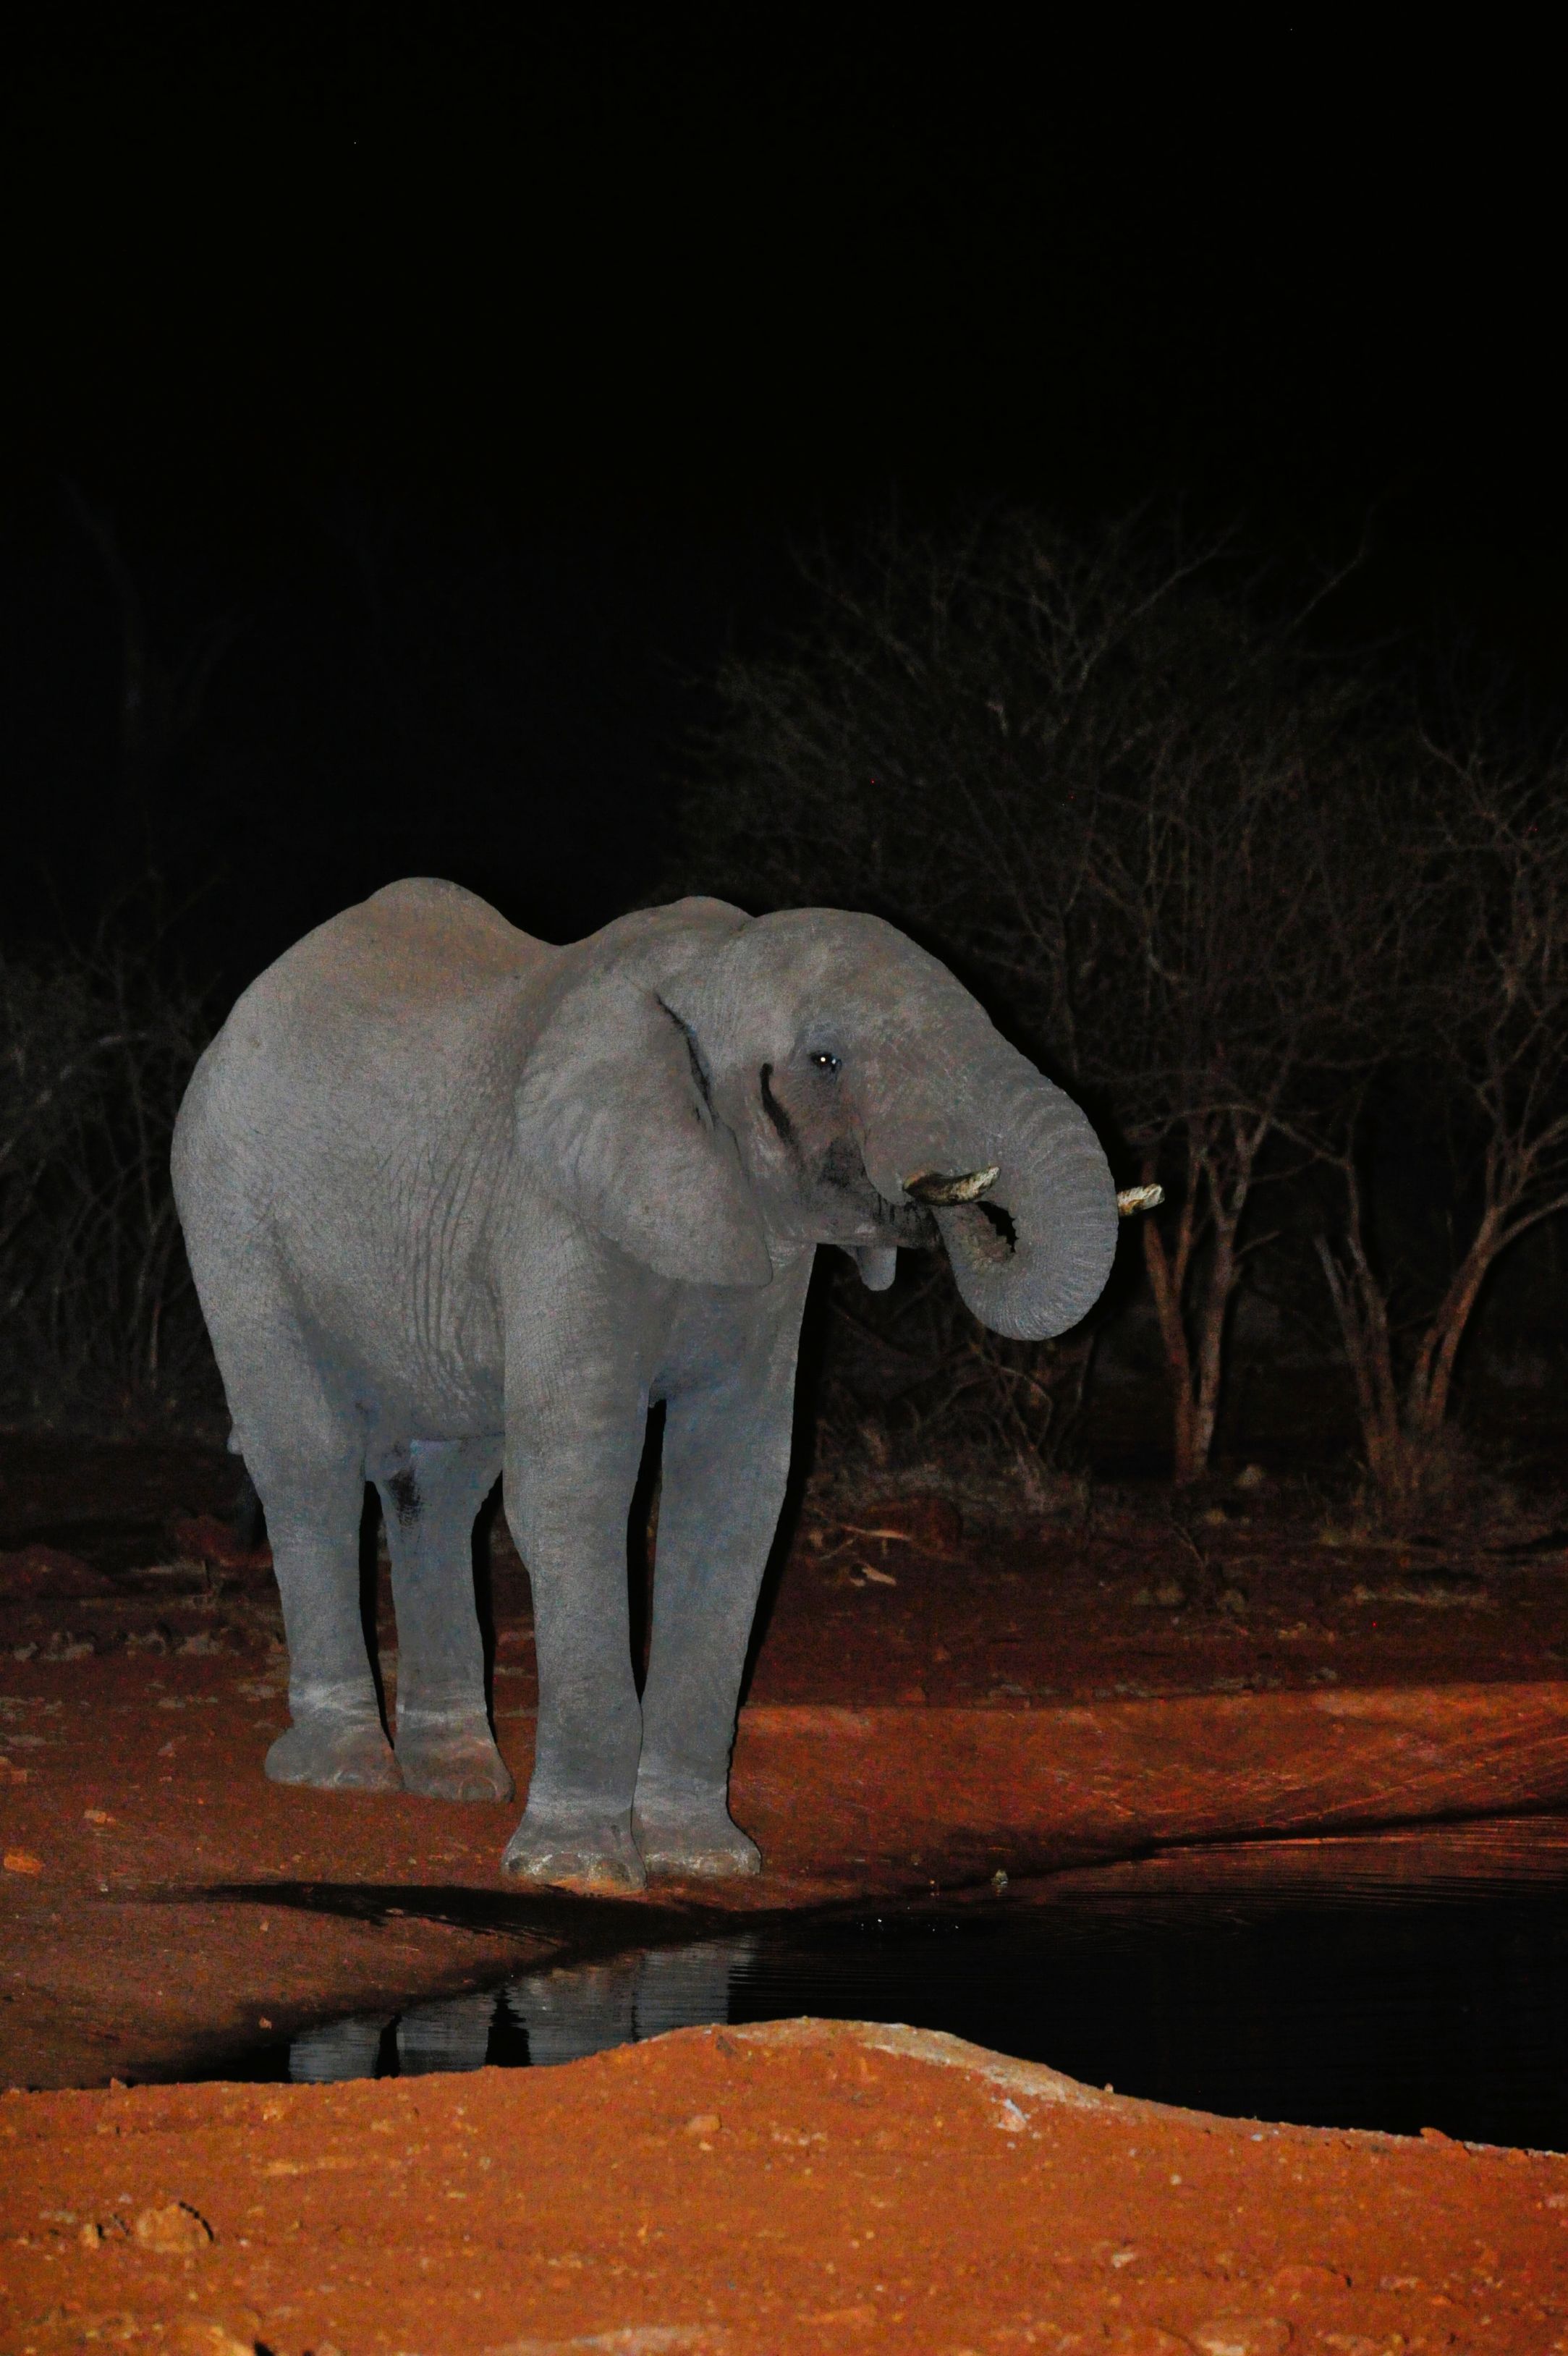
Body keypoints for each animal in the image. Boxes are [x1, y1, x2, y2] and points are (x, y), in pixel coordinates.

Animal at [172, 878, 1116, 1893]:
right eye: (825, 1060)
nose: (949, 1200)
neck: (708, 969)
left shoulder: (762, 1246)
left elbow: (737, 1492)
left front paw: (705, 1858)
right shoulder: (555, 1210)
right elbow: (580, 1488)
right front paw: (577, 1867)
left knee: (443, 1485)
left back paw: (456, 1779)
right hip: (228, 1211)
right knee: (309, 1462)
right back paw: (342, 1772)